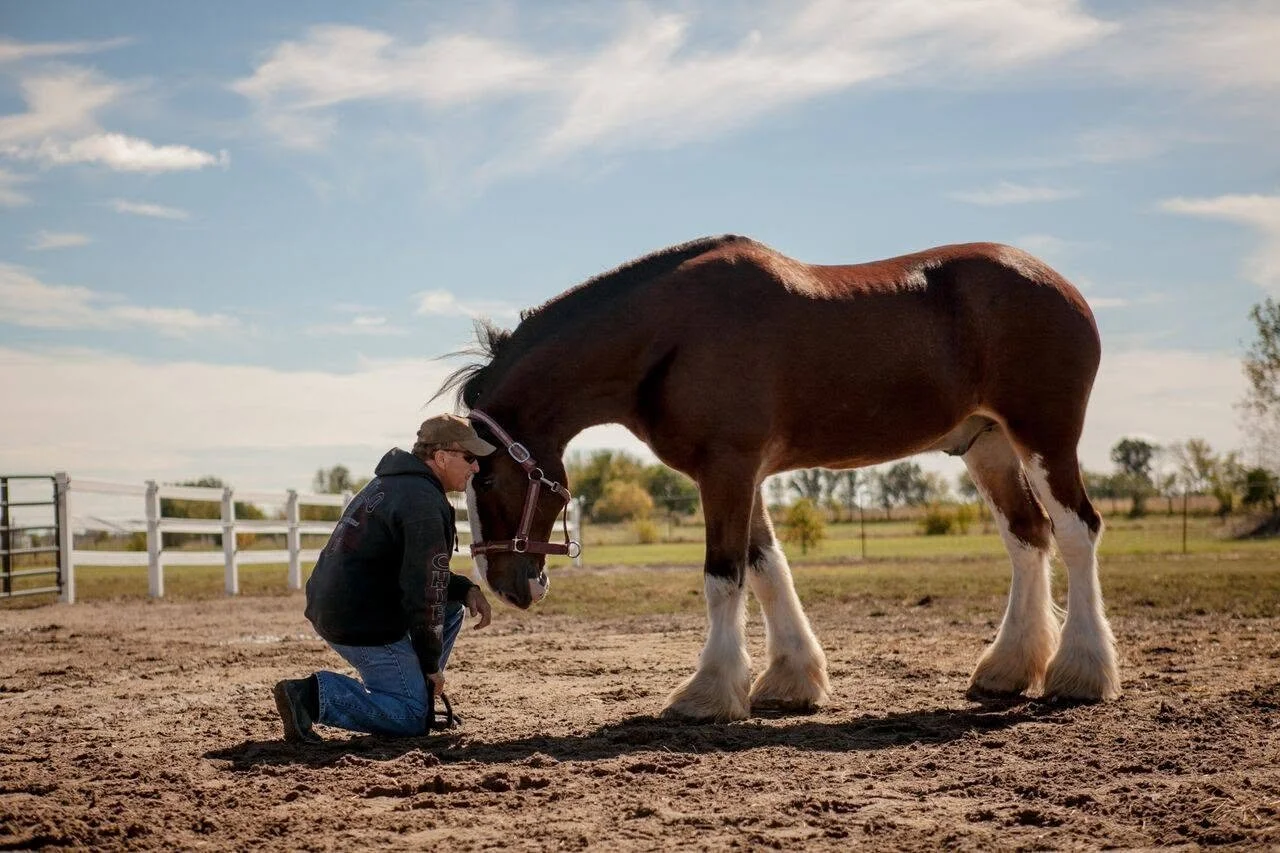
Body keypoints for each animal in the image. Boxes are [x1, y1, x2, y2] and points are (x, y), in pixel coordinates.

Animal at [439, 234, 1120, 723]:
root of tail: (1065, 290)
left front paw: (708, 692)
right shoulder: (744, 475)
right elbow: (767, 569)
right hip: (988, 445)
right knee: (1027, 537)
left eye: (488, 480)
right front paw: (792, 680)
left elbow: (723, 577)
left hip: (1045, 440)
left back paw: (1081, 673)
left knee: (1076, 531)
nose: (505, 586)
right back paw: (1008, 669)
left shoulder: (728, 468)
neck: (671, 333)